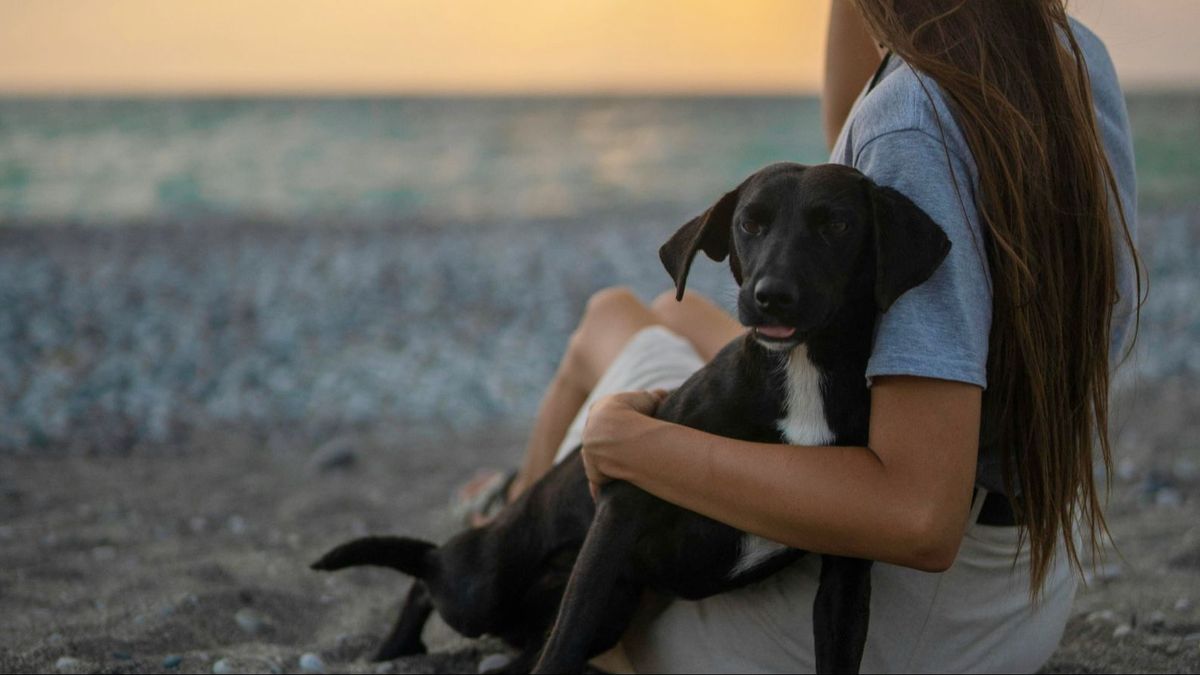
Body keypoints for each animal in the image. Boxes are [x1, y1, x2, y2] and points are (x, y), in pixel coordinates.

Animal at [314, 164, 950, 672]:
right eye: (750, 224)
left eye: (836, 225)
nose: (770, 296)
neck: (799, 375)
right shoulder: (624, 503)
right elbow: (562, 648)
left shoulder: (849, 565)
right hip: (487, 586)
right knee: (431, 578)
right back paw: (393, 644)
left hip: (606, 611)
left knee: (508, 645)